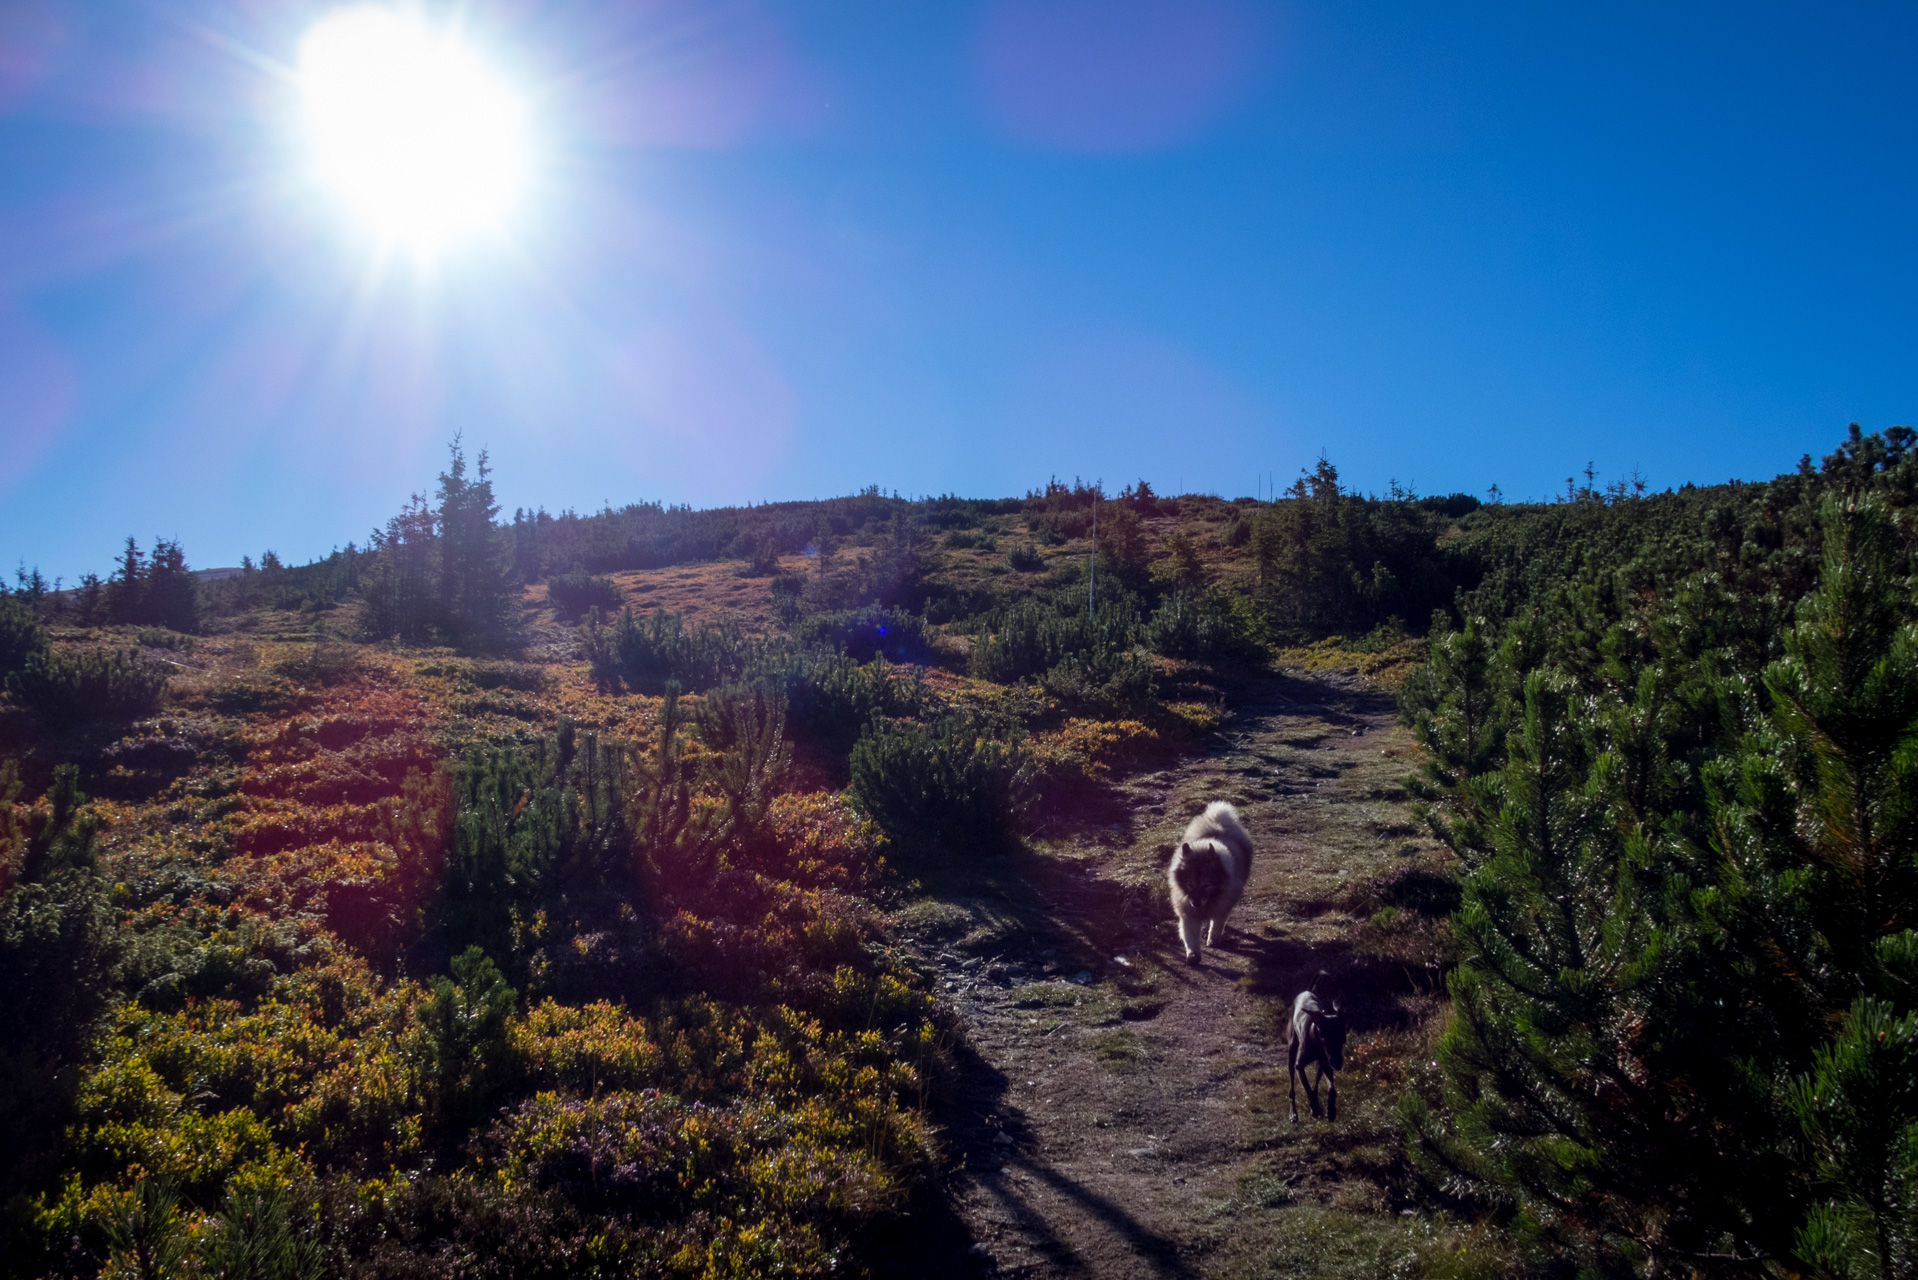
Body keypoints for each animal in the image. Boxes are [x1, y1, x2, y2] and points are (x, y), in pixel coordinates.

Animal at [1158, 802, 1250, 959]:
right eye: (1189, 884)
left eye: (1206, 885)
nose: (1196, 903)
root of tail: (1217, 824)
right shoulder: (1188, 913)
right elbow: (1190, 936)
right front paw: (1193, 954)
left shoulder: (1221, 907)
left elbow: (1217, 924)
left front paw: (1213, 939)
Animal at [1288, 974, 1350, 1128]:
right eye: (1324, 1038)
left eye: (1343, 1040)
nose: (1338, 1064)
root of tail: (1306, 991)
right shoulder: (1299, 1066)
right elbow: (1307, 1088)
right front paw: (1315, 1108)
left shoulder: (1327, 1063)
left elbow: (1331, 1089)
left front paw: (1331, 1110)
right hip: (1291, 1052)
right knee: (1292, 1087)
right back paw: (1294, 1113)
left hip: (1320, 1065)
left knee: (1315, 1083)